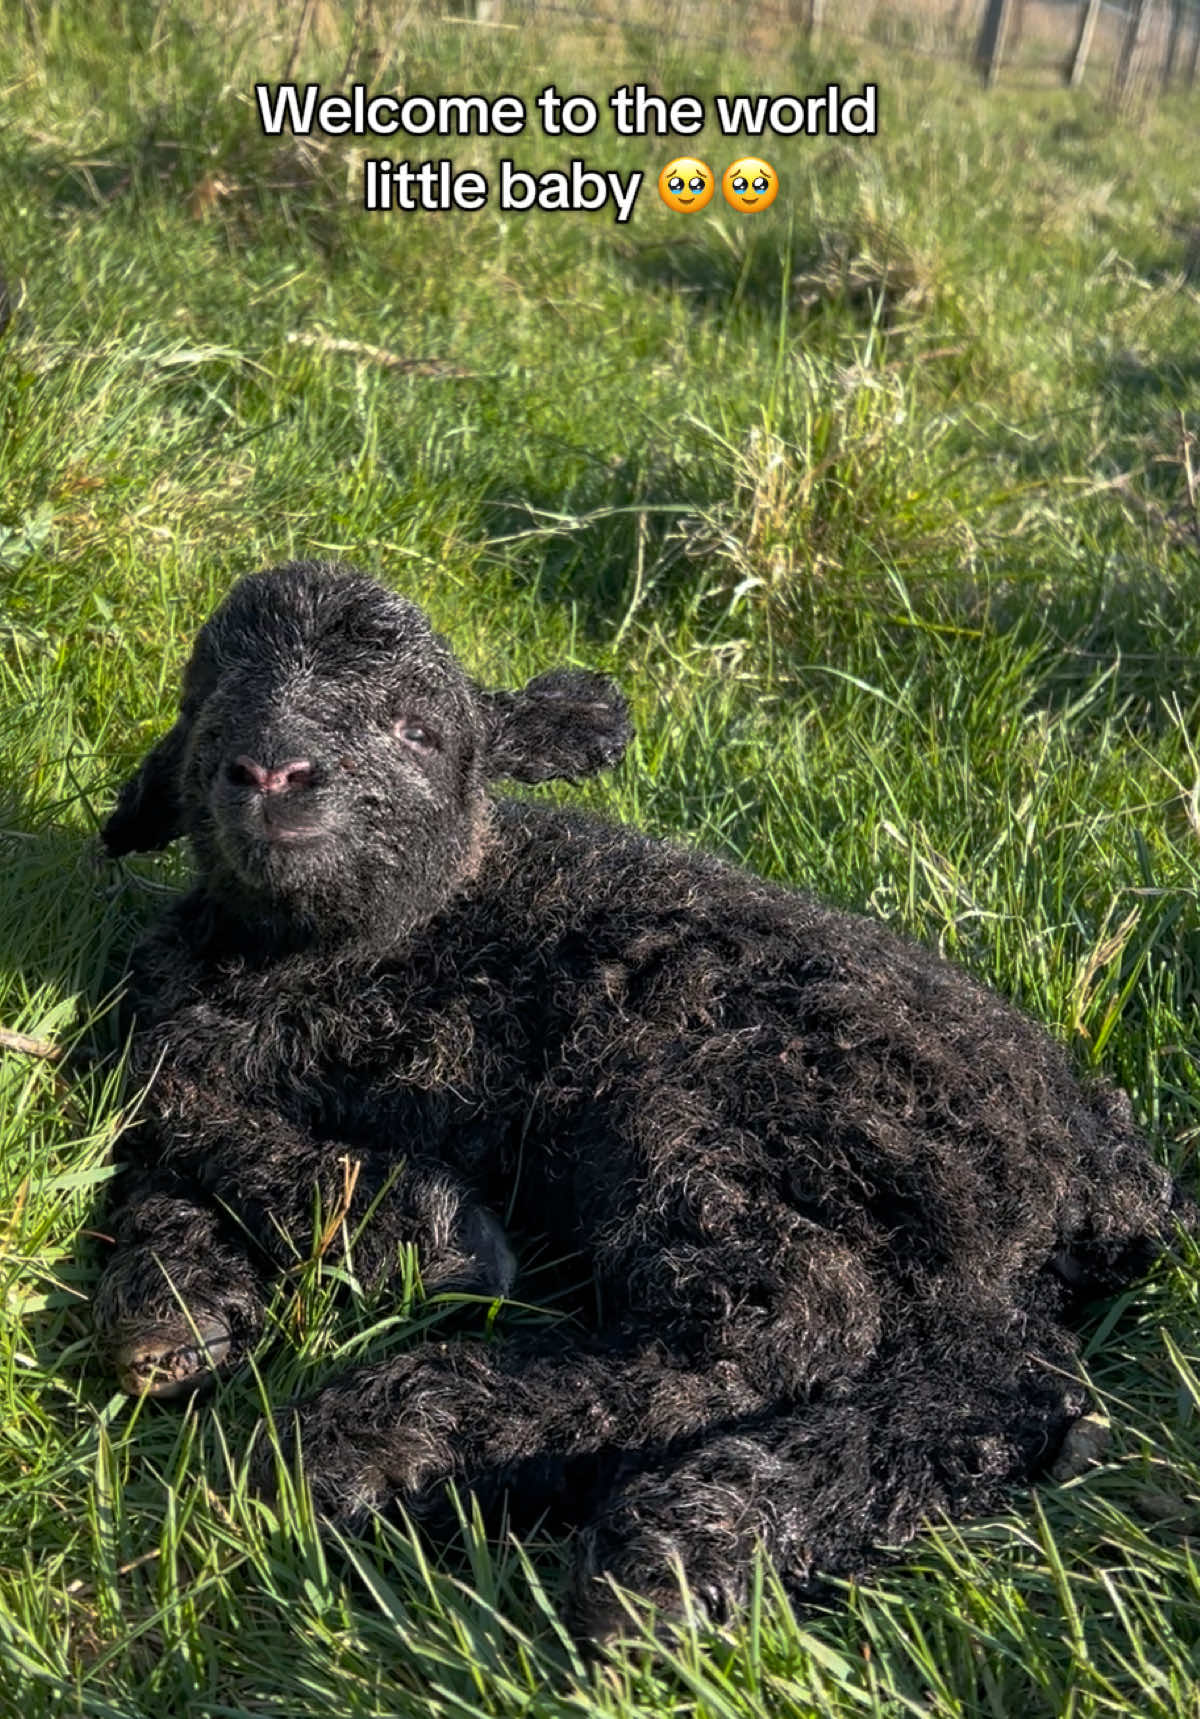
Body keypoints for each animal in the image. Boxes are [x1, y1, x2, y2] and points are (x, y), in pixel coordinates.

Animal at [95, 558, 1185, 1638]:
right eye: (202, 709)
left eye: (418, 731)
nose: (272, 772)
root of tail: (1106, 1165)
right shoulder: (176, 1011)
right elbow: (147, 1096)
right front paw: (175, 1311)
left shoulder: (444, 1062)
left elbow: (160, 1090)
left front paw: (424, 1237)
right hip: (946, 1255)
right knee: (987, 1393)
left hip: (728, 1115)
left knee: (786, 1319)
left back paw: (451, 1460)